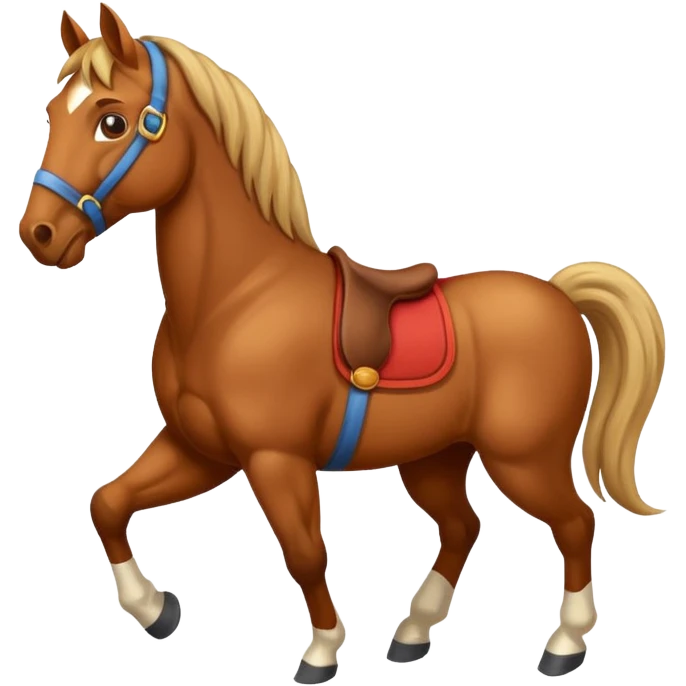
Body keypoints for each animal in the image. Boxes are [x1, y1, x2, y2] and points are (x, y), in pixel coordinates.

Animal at [18, 5, 668, 683]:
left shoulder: (274, 459)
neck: (239, 297)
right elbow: (108, 503)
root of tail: (560, 296)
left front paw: (322, 652)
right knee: (464, 526)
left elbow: (305, 552)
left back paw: (563, 645)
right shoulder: (201, 448)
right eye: (52, 112)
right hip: (435, 457)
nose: (39, 234)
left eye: (111, 120)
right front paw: (156, 611)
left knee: (575, 522)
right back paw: (411, 634)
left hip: (525, 460)